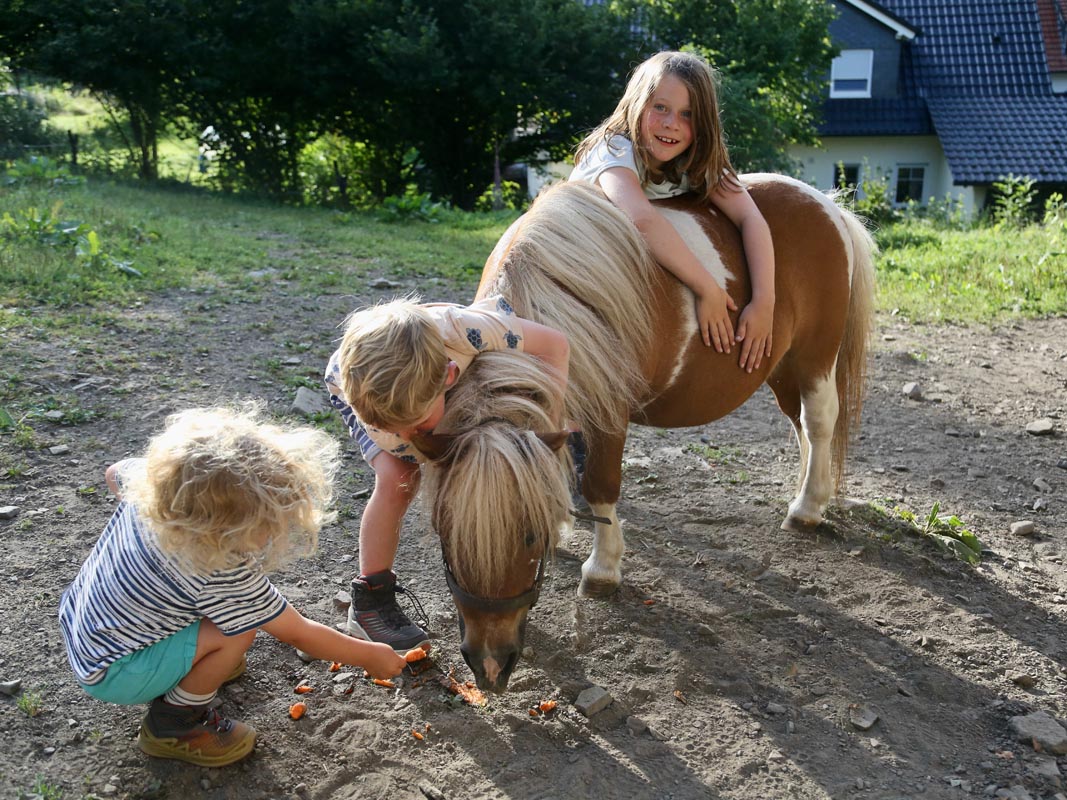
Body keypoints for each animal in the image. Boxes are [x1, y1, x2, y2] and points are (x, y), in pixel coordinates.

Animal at [415, 175, 876, 693]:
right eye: (443, 533)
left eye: (530, 537)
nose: (490, 665)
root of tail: (827, 204)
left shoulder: (608, 410)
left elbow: (599, 486)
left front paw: (603, 569)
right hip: (778, 363)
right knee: (802, 429)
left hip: (814, 356)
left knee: (819, 422)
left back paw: (808, 508)